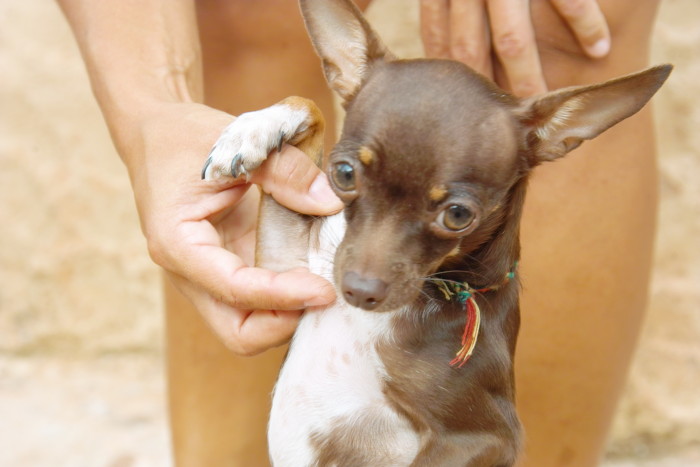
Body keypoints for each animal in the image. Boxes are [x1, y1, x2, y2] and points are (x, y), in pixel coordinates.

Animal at [200, 0, 668, 464]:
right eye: (343, 174)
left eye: (458, 215)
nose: (358, 291)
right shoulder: (287, 268)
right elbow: (309, 104)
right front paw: (254, 129)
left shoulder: (481, 439)